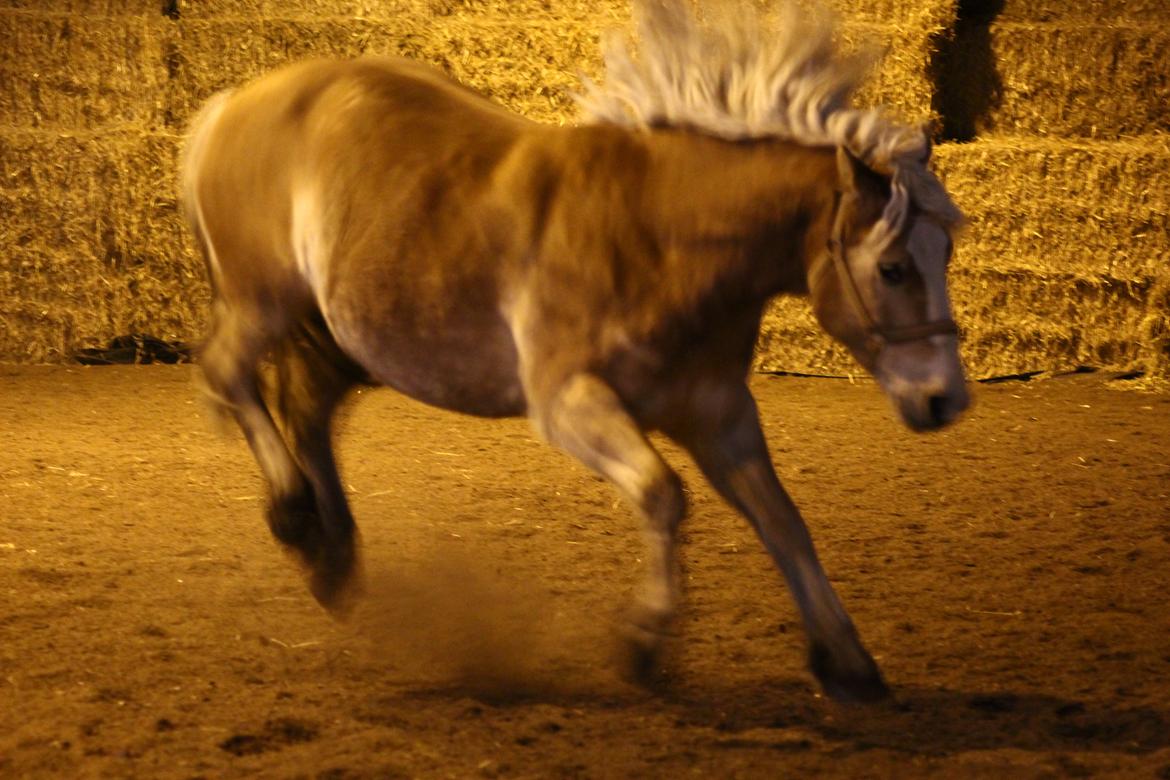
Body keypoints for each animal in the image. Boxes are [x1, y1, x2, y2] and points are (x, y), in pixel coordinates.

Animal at [180, 0, 968, 706]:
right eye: (893, 267)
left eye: (947, 252)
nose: (944, 399)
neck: (657, 236)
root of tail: (229, 105)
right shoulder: (568, 404)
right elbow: (663, 494)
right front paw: (644, 641)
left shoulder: (718, 415)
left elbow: (782, 521)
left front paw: (847, 660)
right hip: (261, 302)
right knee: (228, 375)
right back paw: (295, 516)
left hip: (343, 333)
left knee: (307, 408)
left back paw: (333, 554)